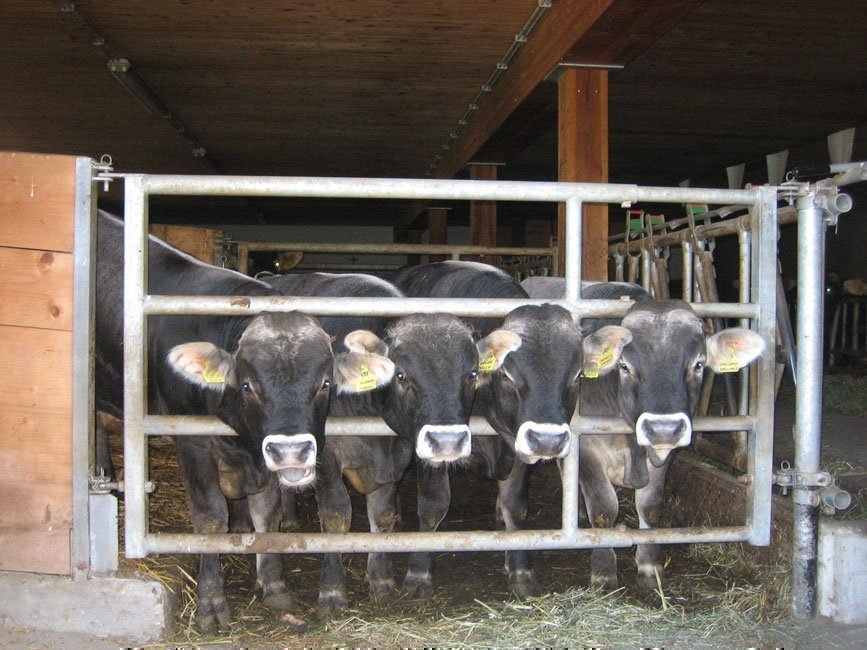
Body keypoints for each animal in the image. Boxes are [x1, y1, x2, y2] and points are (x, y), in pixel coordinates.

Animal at [520, 276, 764, 588]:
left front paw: (650, 566)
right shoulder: (586, 447)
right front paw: (603, 571)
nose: (664, 428)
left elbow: (650, 505)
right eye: (624, 366)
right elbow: (604, 507)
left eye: (698, 364)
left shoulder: (663, 455)